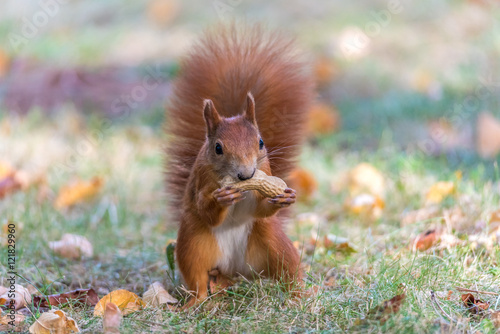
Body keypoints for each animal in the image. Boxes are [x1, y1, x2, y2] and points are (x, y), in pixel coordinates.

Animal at [168, 24, 314, 308]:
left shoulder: (265, 173)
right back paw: (196, 303)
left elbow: (260, 208)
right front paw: (222, 199)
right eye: (217, 148)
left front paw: (285, 197)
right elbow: (205, 209)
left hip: (272, 242)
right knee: (197, 279)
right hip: (193, 245)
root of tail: (234, 271)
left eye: (261, 142)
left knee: (288, 271)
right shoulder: (202, 180)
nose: (246, 174)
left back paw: (300, 295)